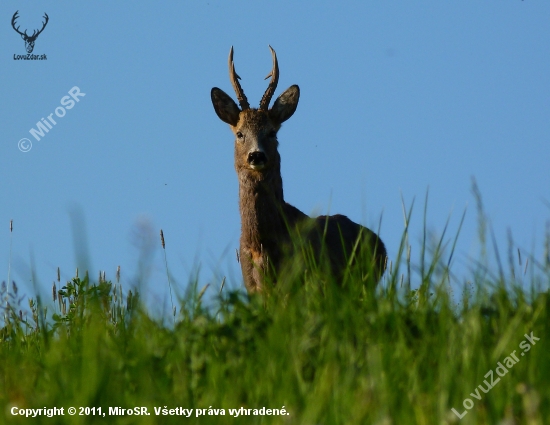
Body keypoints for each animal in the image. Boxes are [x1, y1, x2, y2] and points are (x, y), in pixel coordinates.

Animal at [211, 46, 388, 292]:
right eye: (240, 133)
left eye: (272, 132)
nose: (256, 155)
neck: (262, 244)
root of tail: (383, 247)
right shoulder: (252, 286)